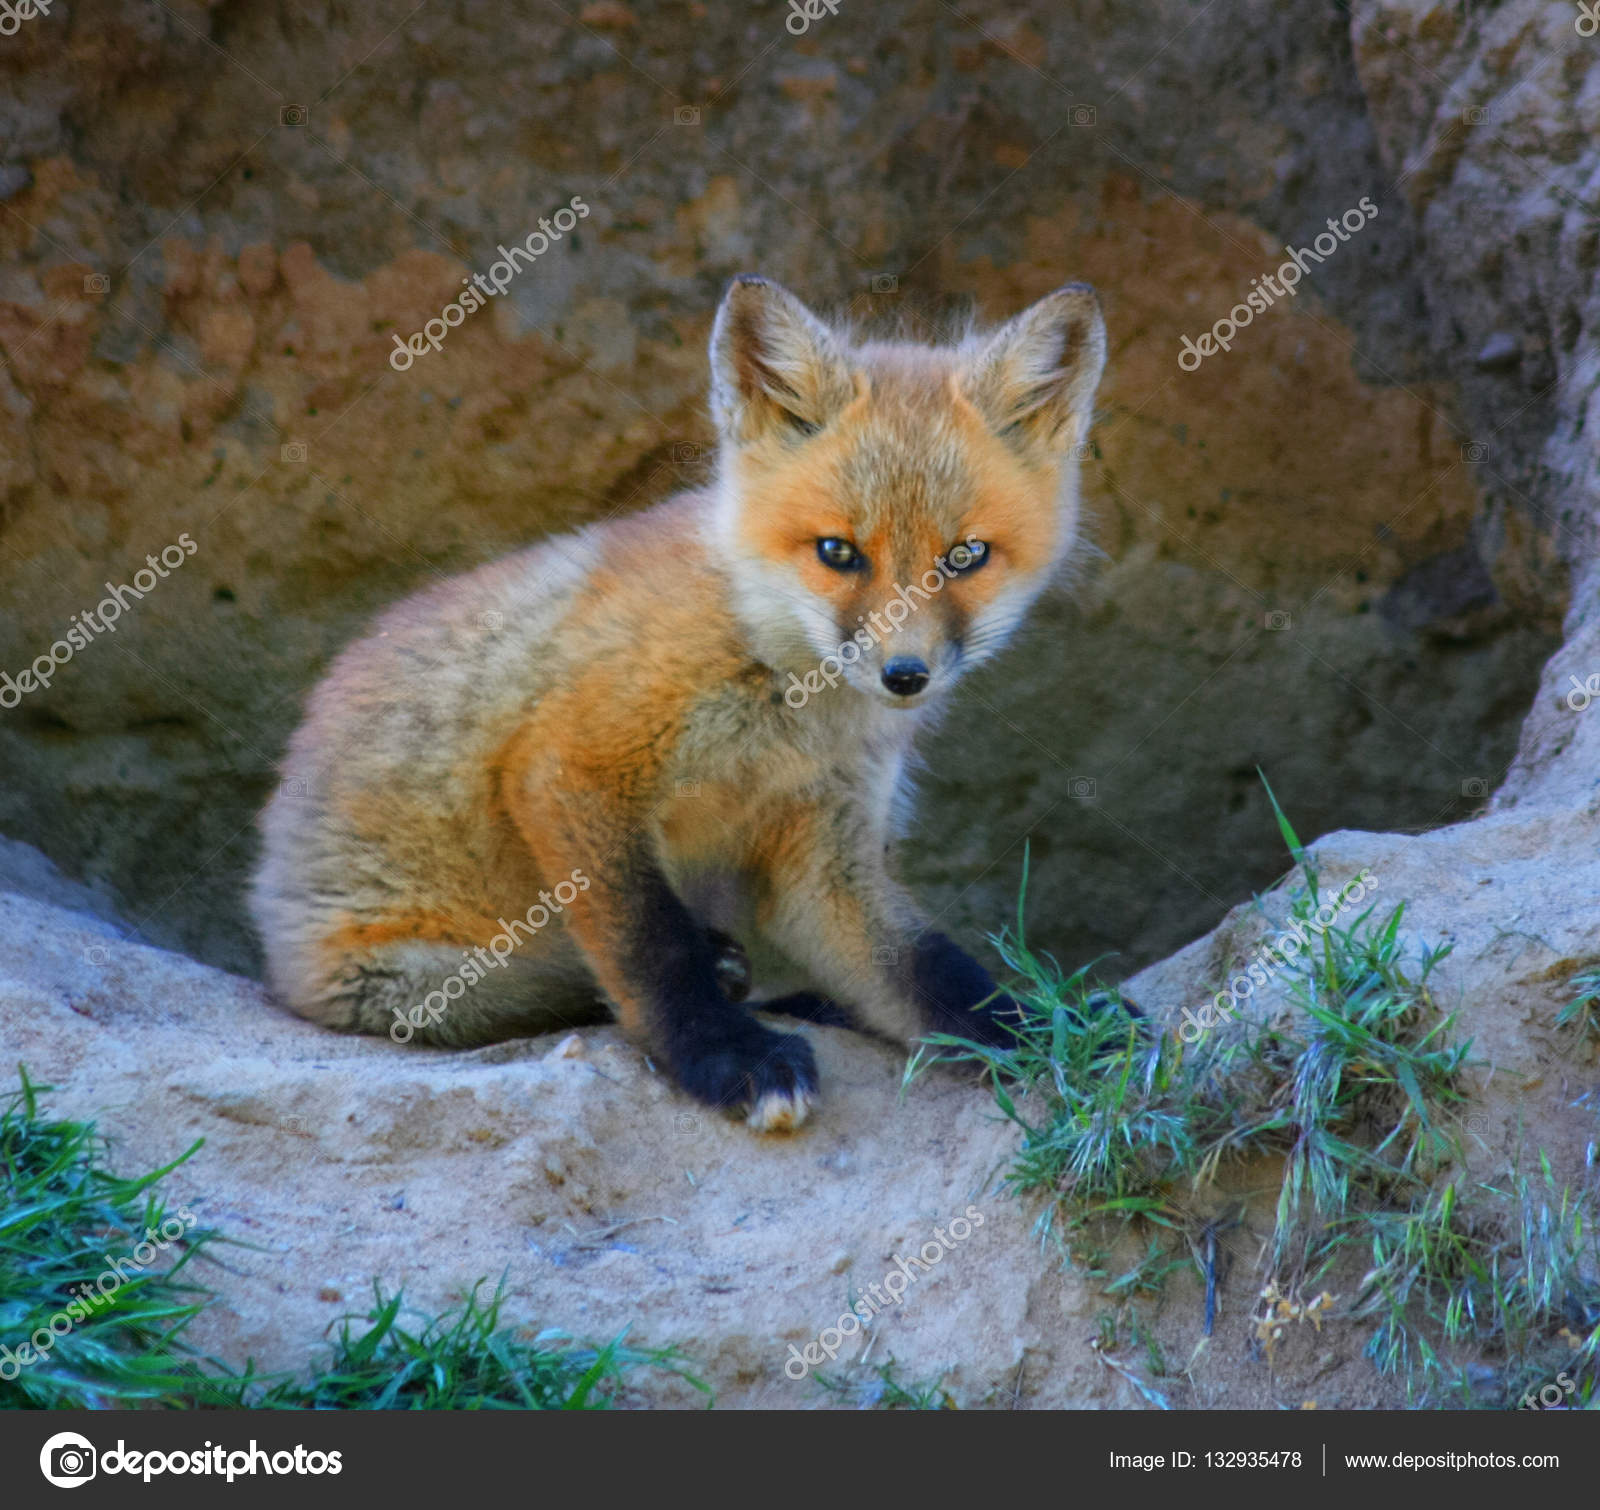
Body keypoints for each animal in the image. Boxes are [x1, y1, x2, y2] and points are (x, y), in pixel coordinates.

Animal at [256, 276, 1107, 1132]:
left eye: (965, 556)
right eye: (838, 552)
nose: (905, 675)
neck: (784, 706)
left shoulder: (821, 854)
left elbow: (935, 976)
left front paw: (1057, 1038)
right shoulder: (571, 769)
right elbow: (653, 950)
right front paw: (727, 1056)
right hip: (418, 986)